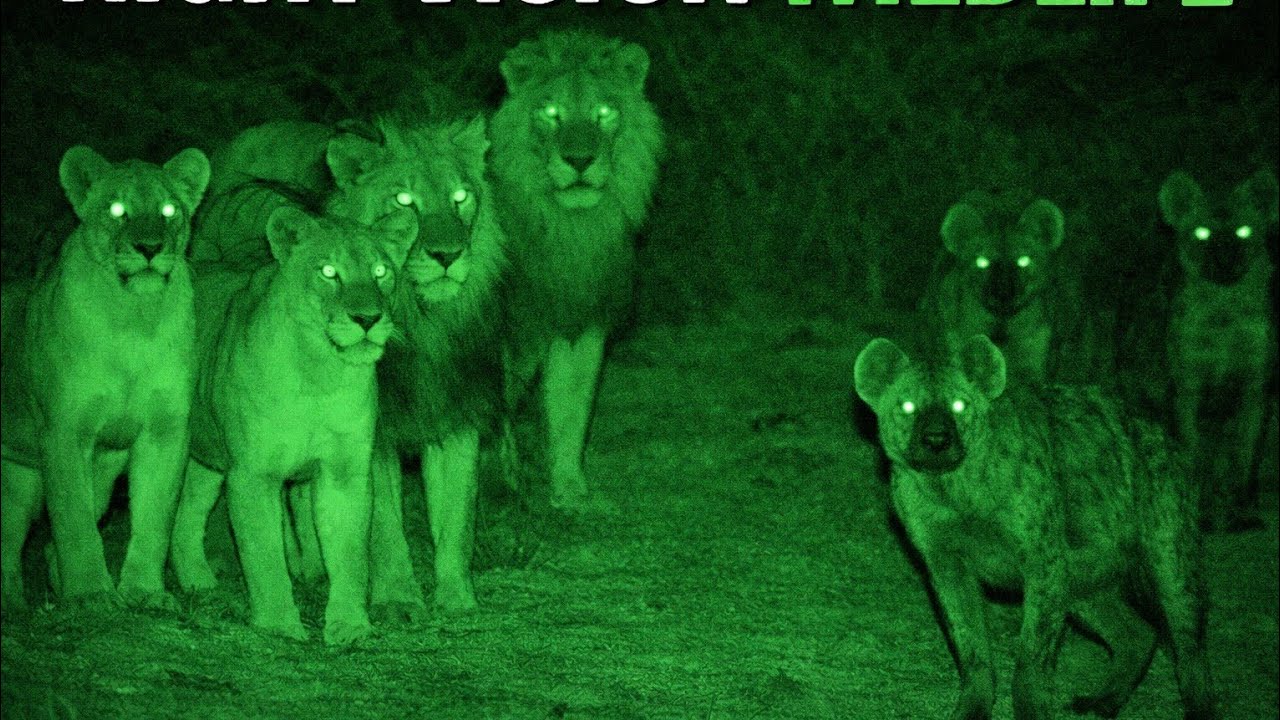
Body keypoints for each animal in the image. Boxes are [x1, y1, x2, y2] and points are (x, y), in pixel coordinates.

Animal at [1, 145, 210, 613]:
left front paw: (145, 593)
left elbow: (154, 518)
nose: (149, 248)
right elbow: (74, 521)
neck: (135, 321)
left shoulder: (165, 431)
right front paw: (90, 595)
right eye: (117, 210)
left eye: (169, 210)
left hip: (32, 477)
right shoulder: (63, 432)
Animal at [168, 205, 416, 645]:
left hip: (206, 460)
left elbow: (350, 553)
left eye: (381, 270)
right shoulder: (253, 473)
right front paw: (278, 625)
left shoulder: (344, 471)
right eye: (329, 271)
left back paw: (202, 587)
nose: (368, 318)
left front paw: (349, 626)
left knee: (187, 517)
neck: (321, 375)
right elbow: (264, 554)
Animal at [194, 105, 508, 616]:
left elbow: (457, 517)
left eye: (461, 197)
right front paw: (397, 598)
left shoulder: (455, 414)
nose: (448, 255)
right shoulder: (373, 435)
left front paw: (457, 597)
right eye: (405, 200)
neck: (426, 323)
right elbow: (384, 529)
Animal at [490, 30, 665, 511]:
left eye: (604, 113)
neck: (568, 230)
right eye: (551, 114)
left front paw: (569, 489)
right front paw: (502, 483)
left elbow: (572, 408)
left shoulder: (579, 319)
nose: (580, 160)